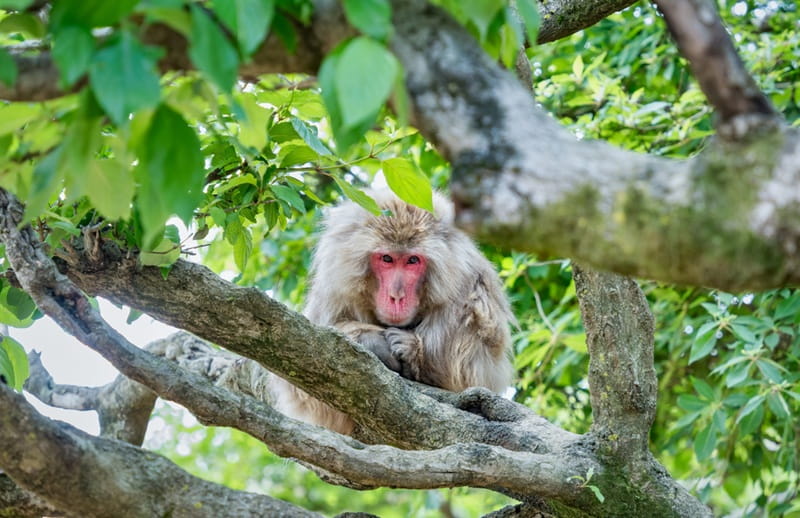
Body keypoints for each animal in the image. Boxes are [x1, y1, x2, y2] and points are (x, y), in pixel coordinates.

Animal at [270, 189, 514, 434]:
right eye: (387, 259)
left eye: (412, 260)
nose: (396, 296)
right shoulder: (335, 289)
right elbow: (304, 388)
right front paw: (371, 341)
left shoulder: (470, 284)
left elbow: (467, 372)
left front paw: (410, 348)